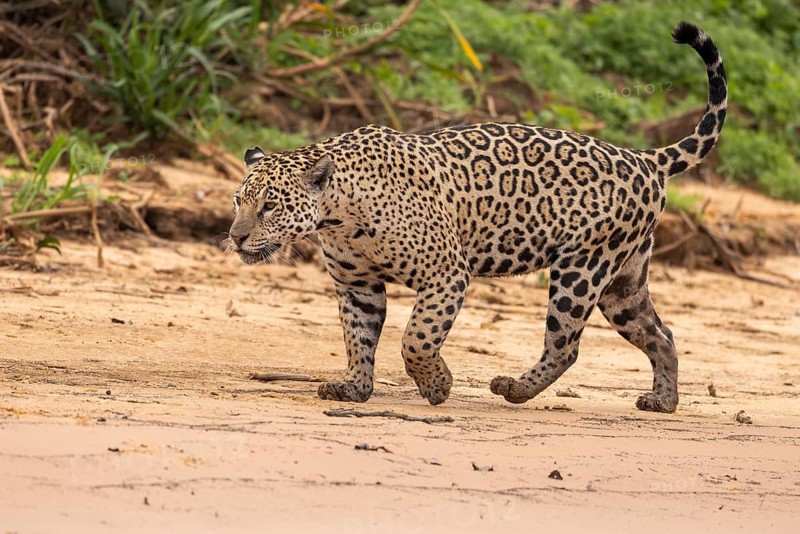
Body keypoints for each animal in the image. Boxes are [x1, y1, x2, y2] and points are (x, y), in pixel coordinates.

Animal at [228, 22, 726, 413]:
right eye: (238, 202)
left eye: (270, 205)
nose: (235, 238)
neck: (339, 216)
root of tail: (645, 158)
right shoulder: (357, 284)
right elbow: (358, 336)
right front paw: (354, 386)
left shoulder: (446, 272)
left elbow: (417, 338)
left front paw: (437, 384)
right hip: (623, 281)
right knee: (660, 333)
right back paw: (663, 400)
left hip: (583, 267)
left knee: (566, 344)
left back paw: (514, 389)